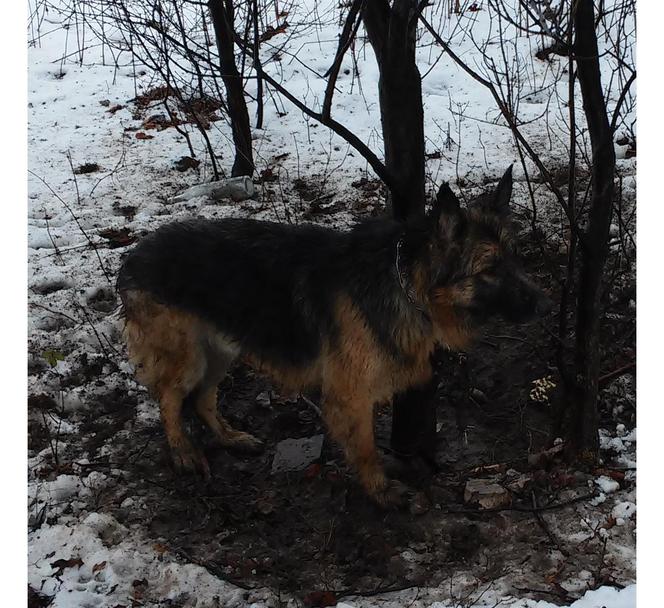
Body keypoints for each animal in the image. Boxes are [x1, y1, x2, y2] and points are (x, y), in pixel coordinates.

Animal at [116, 166, 548, 504]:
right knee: (170, 399)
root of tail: (133, 254)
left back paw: (229, 437)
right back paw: (182, 452)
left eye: (515, 257)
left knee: (203, 398)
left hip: (221, 349)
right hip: (189, 357)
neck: (405, 281)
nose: (543, 304)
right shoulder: (350, 395)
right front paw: (381, 492)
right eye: (489, 269)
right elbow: (367, 448)